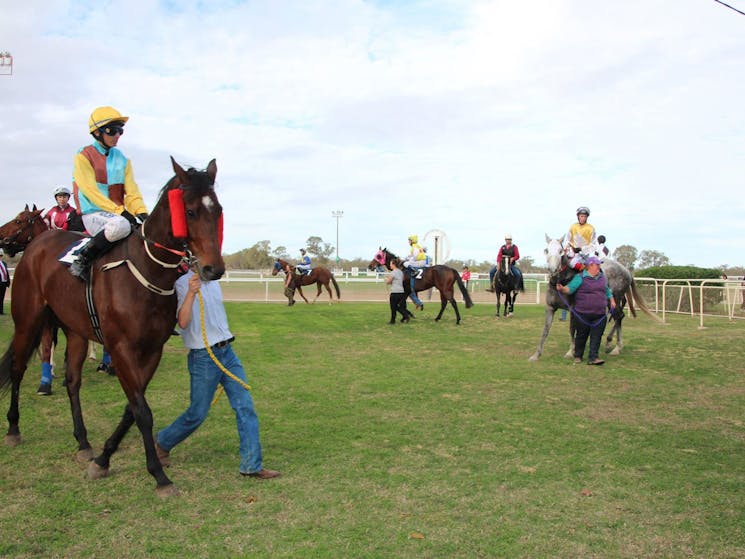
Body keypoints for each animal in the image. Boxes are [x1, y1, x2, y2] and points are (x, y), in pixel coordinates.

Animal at [0, 158, 224, 498]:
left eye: (218, 209)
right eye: (190, 211)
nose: (214, 269)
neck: (146, 271)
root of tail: (36, 247)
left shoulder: (151, 350)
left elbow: (133, 408)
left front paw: (104, 457)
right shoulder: (121, 349)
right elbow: (142, 411)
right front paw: (159, 475)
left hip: (76, 331)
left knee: (72, 381)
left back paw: (83, 442)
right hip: (29, 319)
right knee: (17, 368)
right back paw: (13, 428)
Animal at [528, 235, 656, 364]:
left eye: (560, 251)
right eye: (546, 250)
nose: (553, 269)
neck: (563, 281)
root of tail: (627, 271)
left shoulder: (573, 309)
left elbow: (572, 329)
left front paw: (570, 352)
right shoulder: (550, 308)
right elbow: (545, 330)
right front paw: (536, 355)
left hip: (615, 298)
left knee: (619, 317)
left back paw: (616, 347)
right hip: (610, 301)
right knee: (619, 317)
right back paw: (611, 344)